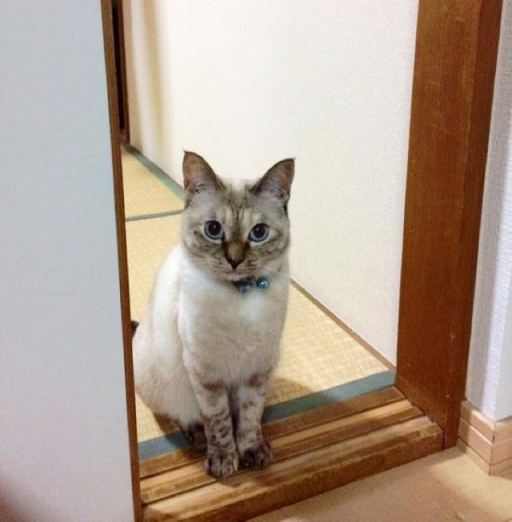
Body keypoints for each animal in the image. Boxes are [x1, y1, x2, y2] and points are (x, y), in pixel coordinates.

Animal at [133, 151, 294, 478]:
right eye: (213, 230)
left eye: (259, 233)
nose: (234, 260)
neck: (241, 293)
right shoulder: (206, 376)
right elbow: (218, 423)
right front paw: (223, 461)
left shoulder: (257, 372)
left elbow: (249, 418)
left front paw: (252, 452)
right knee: (178, 413)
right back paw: (195, 435)